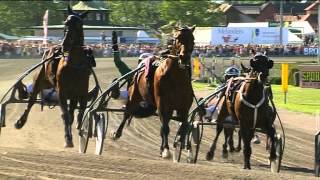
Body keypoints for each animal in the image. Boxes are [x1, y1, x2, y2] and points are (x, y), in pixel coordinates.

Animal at [14, 6, 90, 148]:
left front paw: (79, 129)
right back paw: (20, 122)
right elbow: (65, 115)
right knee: (31, 101)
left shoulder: (80, 93)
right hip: (40, 81)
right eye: (65, 23)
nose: (65, 44)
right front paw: (68, 139)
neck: (75, 65)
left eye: (79, 25)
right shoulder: (62, 92)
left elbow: (79, 112)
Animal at [114, 25, 196, 158]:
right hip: (134, 95)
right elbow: (165, 128)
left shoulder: (184, 108)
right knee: (127, 112)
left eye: (192, 39)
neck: (176, 78)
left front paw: (180, 146)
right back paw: (117, 133)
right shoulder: (162, 104)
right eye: (177, 38)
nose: (184, 57)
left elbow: (183, 127)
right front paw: (166, 150)